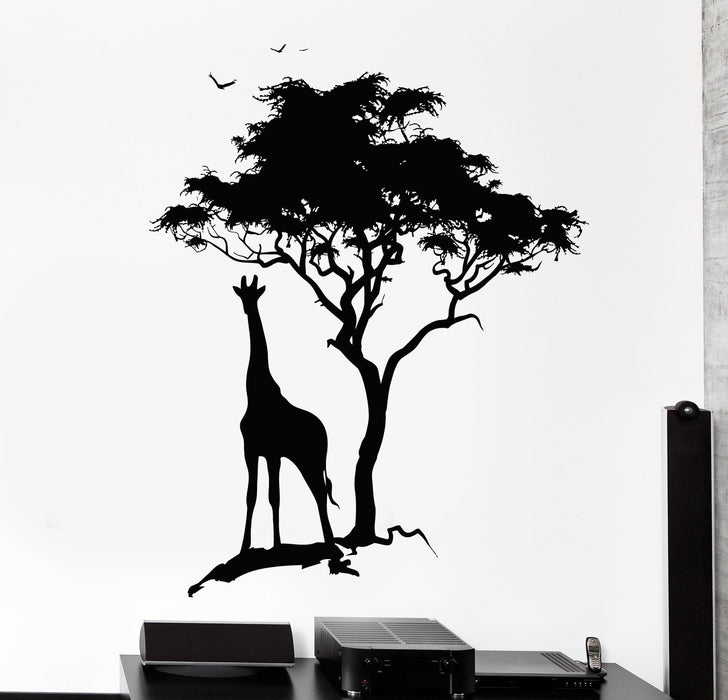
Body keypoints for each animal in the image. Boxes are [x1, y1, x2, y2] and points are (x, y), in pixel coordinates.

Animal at [232, 275, 338, 551]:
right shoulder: (251, 450)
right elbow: (252, 495)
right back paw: (329, 539)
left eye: (255, 295)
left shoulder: (271, 453)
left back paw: (330, 541)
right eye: (241, 295)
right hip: (305, 460)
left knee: (319, 492)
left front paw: (277, 544)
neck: (256, 394)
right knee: (319, 492)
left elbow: (274, 496)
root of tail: (324, 434)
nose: (246, 309)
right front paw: (245, 546)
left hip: (310, 459)